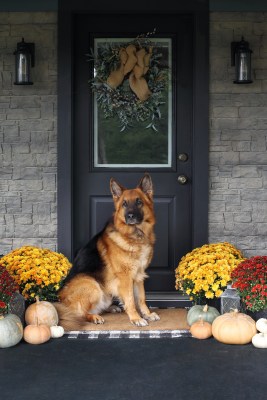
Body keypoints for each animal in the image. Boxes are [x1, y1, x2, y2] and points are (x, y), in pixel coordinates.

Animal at [54, 174, 159, 328]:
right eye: (124, 204)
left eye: (139, 202)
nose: (130, 216)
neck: (134, 235)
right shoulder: (125, 277)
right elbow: (131, 300)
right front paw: (136, 318)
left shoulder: (139, 275)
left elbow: (141, 298)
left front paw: (147, 314)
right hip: (92, 284)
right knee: (79, 314)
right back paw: (94, 317)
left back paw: (111, 308)